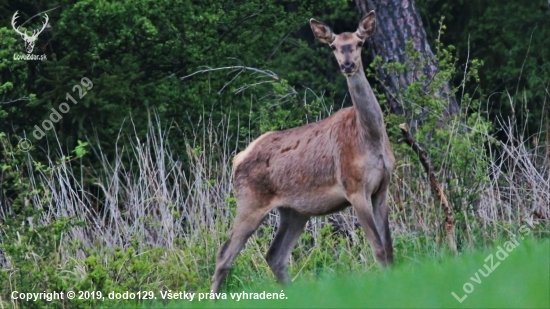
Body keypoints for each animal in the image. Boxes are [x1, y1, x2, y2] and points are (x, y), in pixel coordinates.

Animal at [211, 10, 396, 292]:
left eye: (359, 43)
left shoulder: (382, 188)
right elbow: (379, 249)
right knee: (224, 254)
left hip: (295, 211)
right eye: (333, 46)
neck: (371, 139)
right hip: (250, 200)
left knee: (275, 255)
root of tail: (237, 159)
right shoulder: (354, 188)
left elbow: (389, 248)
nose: (347, 65)